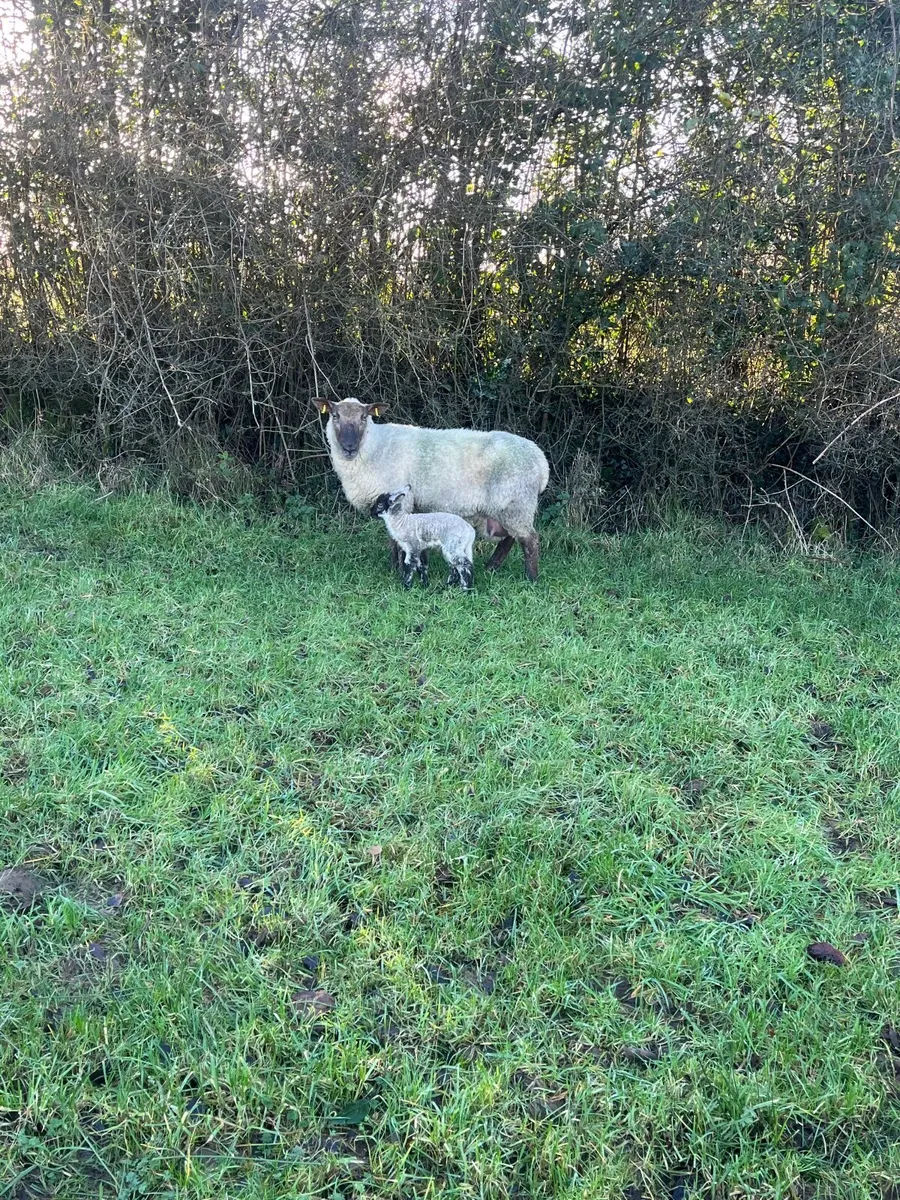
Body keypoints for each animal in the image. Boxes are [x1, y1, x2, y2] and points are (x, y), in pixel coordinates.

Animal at [313, 397, 550, 580]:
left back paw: (531, 579)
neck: (373, 447)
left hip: (515, 503)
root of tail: (541, 461)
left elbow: (395, 539)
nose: (349, 447)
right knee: (510, 539)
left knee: (530, 540)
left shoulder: (400, 500)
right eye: (335, 416)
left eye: (364, 417)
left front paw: (397, 569)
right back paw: (491, 567)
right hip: (509, 507)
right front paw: (397, 567)